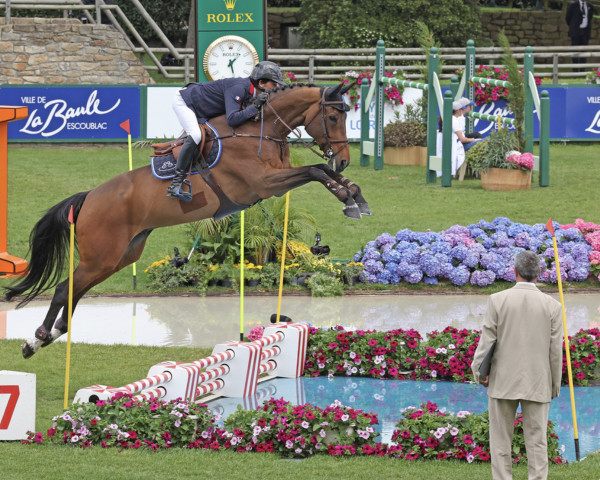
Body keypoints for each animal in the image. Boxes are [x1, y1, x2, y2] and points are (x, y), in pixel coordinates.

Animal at [5, 82, 370, 358]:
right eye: (333, 116)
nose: (344, 160)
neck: (261, 131)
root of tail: (88, 198)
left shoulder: (277, 180)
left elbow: (319, 171)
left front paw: (355, 197)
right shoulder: (264, 183)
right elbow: (315, 170)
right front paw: (349, 199)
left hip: (120, 257)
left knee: (74, 290)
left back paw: (47, 337)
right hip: (102, 256)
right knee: (64, 288)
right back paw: (36, 339)